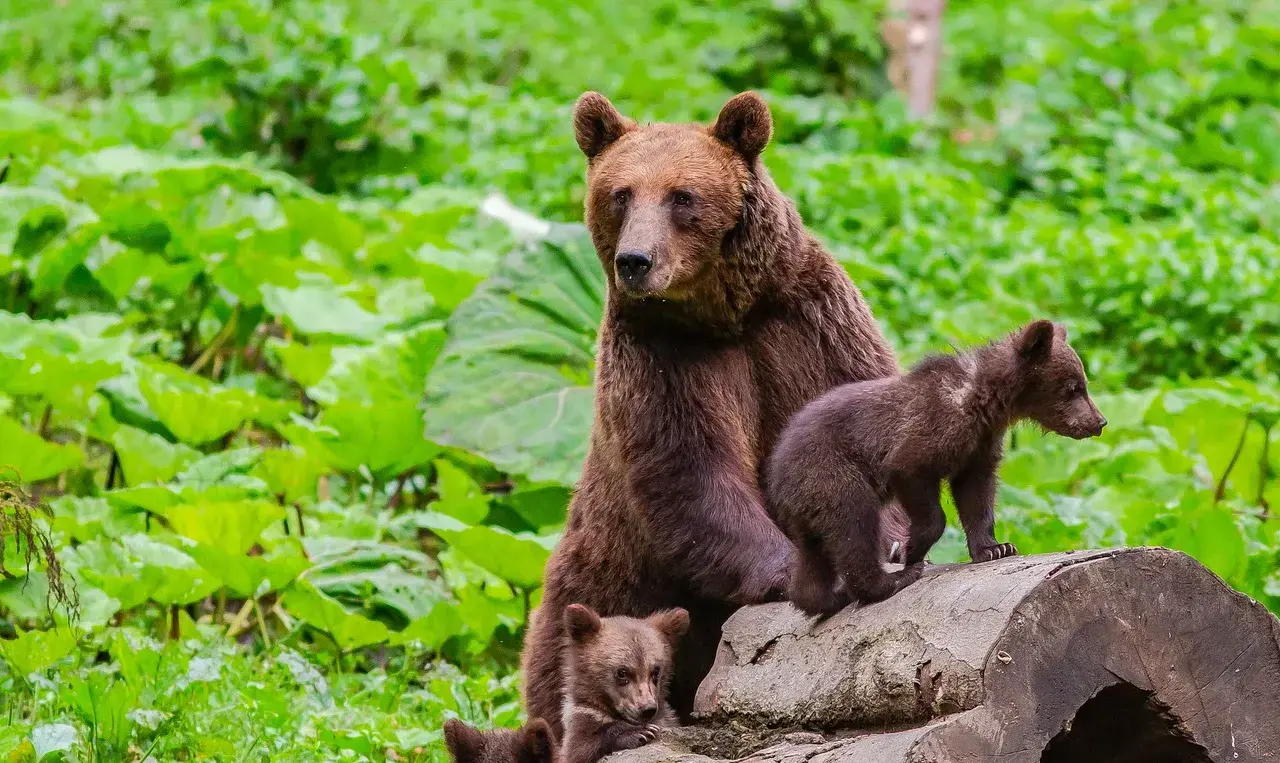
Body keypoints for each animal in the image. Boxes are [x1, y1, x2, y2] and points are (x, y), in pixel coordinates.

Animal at [520, 90, 903, 737]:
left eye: (682, 196)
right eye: (620, 193)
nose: (636, 260)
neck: (726, 317)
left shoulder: (810, 329)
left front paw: (888, 541)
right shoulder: (665, 361)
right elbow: (694, 473)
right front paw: (796, 569)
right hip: (594, 595)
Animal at [560, 604, 688, 763]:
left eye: (655, 671)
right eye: (622, 672)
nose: (648, 709)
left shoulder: (667, 720)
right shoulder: (582, 721)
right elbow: (581, 747)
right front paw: (641, 733)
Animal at [767, 320, 1107, 616]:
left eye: (1084, 384)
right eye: (1074, 387)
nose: (1100, 421)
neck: (983, 403)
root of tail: (776, 470)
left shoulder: (979, 447)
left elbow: (976, 495)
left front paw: (996, 548)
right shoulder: (925, 435)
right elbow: (920, 487)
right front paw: (912, 551)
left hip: (808, 504)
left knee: (813, 558)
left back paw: (827, 596)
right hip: (831, 472)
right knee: (854, 522)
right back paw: (889, 580)